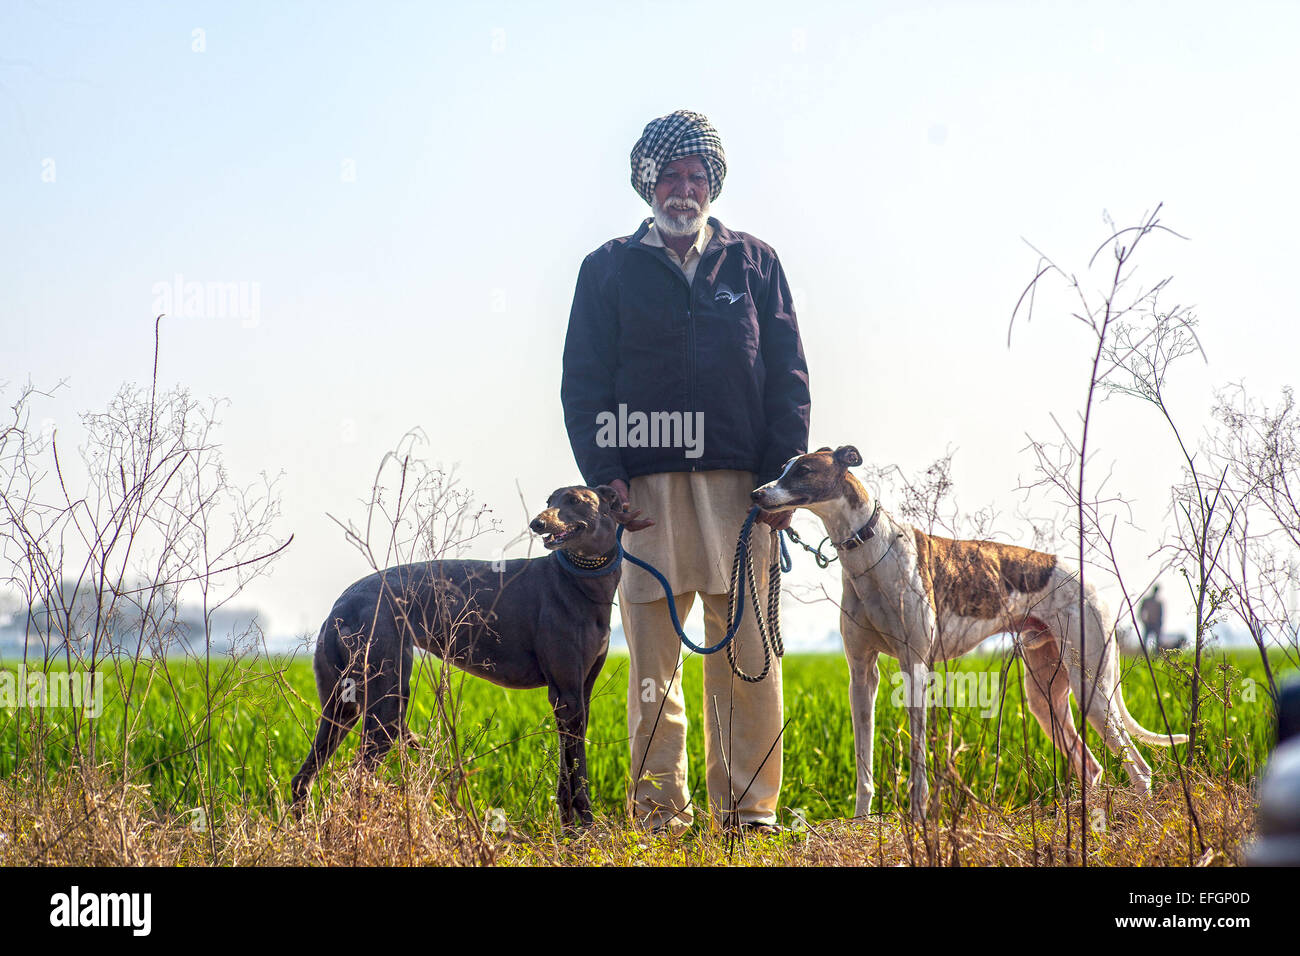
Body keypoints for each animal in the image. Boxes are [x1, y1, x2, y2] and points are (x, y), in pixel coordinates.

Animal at [289, 486, 644, 832]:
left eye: (574, 499)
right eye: (550, 500)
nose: (537, 523)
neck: (578, 581)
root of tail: (339, 608)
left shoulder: (578, 694)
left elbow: (566, 776)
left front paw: (570, 831)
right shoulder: (567, 695)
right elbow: (577, 771)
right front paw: (587, 827)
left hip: (342, 707)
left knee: (302, 779)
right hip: (385, 705)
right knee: (355, 782)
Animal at [754, 444, 1190, 816]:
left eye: (803, 470)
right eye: (784, 468)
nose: (757, 495)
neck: (870, 549)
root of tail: (1089, 582)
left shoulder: (916, 668)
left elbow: (918, 760)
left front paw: (918, 817)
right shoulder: (862, 675)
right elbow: (864, 763)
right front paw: (862, 820)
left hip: (1091, 687)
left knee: (1139, 768)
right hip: (1045, 695)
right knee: (1092, 765)